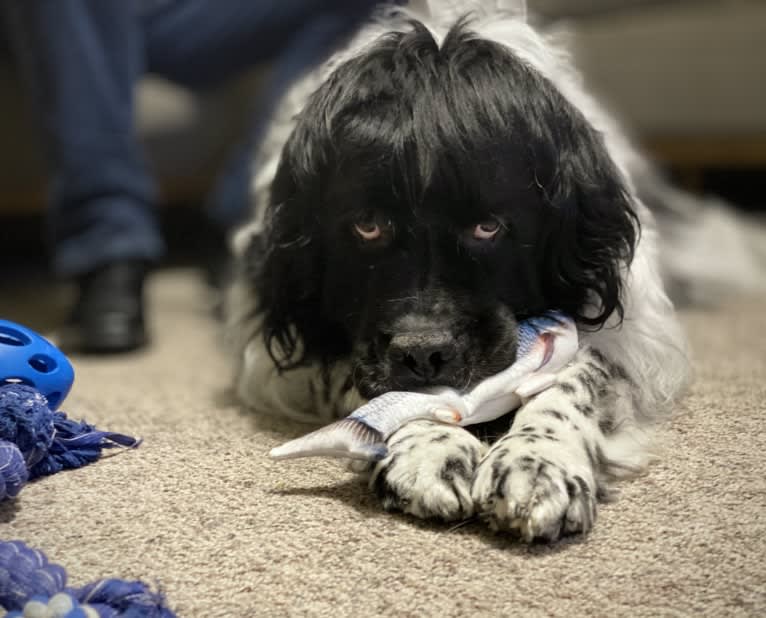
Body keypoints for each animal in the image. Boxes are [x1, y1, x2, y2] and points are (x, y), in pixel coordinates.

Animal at [225, 0, 692, 540]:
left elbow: (577, 378)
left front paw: (539, 462)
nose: (424, 353)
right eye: (367, 225)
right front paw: (430, 449)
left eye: (488, 227)